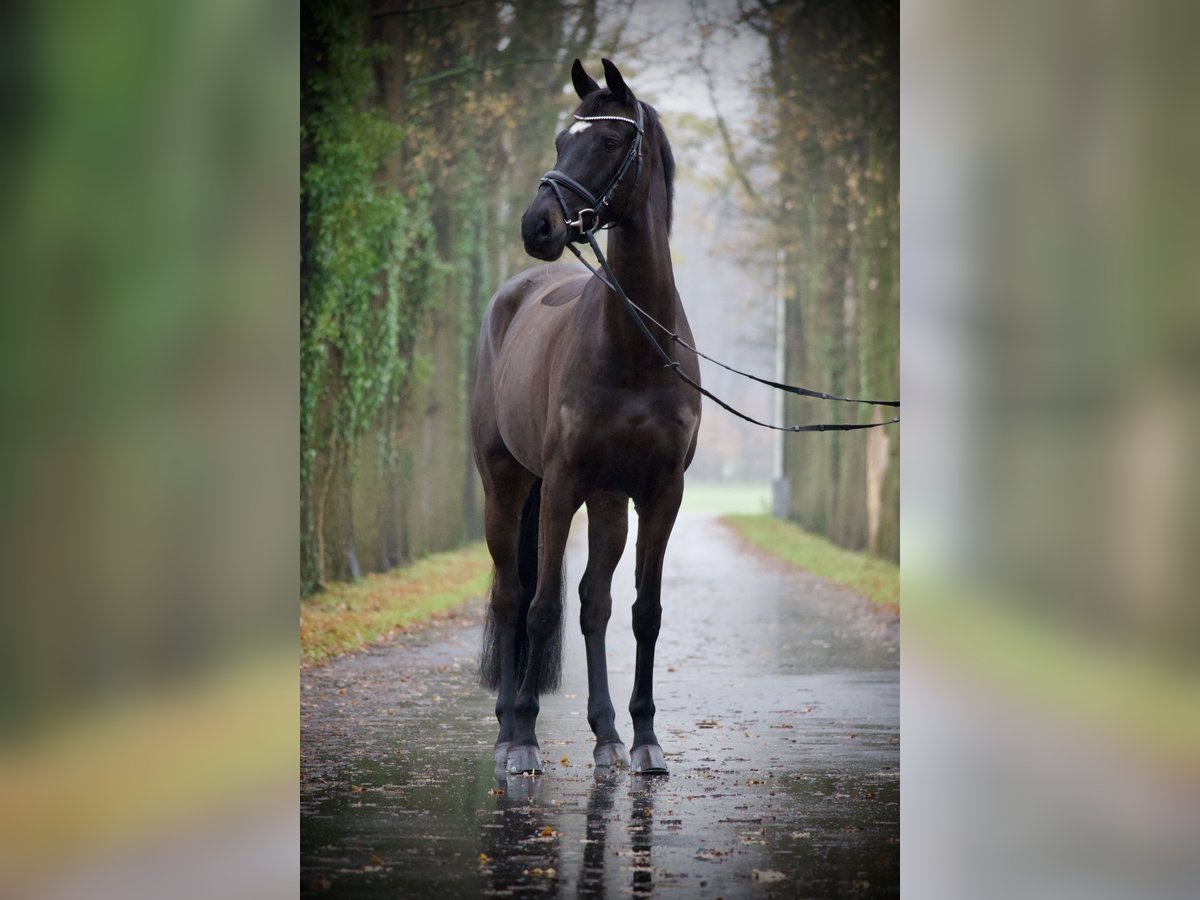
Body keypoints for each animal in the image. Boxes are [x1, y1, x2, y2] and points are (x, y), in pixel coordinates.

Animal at [471, 58, 701, 777]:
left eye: (606, 140)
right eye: (557, 140)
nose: (537, 225)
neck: (634, 349)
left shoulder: (659, 493)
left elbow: (643, 611)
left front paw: (645, 736)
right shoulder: (561, 484)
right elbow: (540, 609)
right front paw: (524, 738)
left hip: (607, 501)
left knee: (594, 604)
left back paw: (605, 736)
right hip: (508, 484)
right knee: (511, 595)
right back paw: (508, 728)